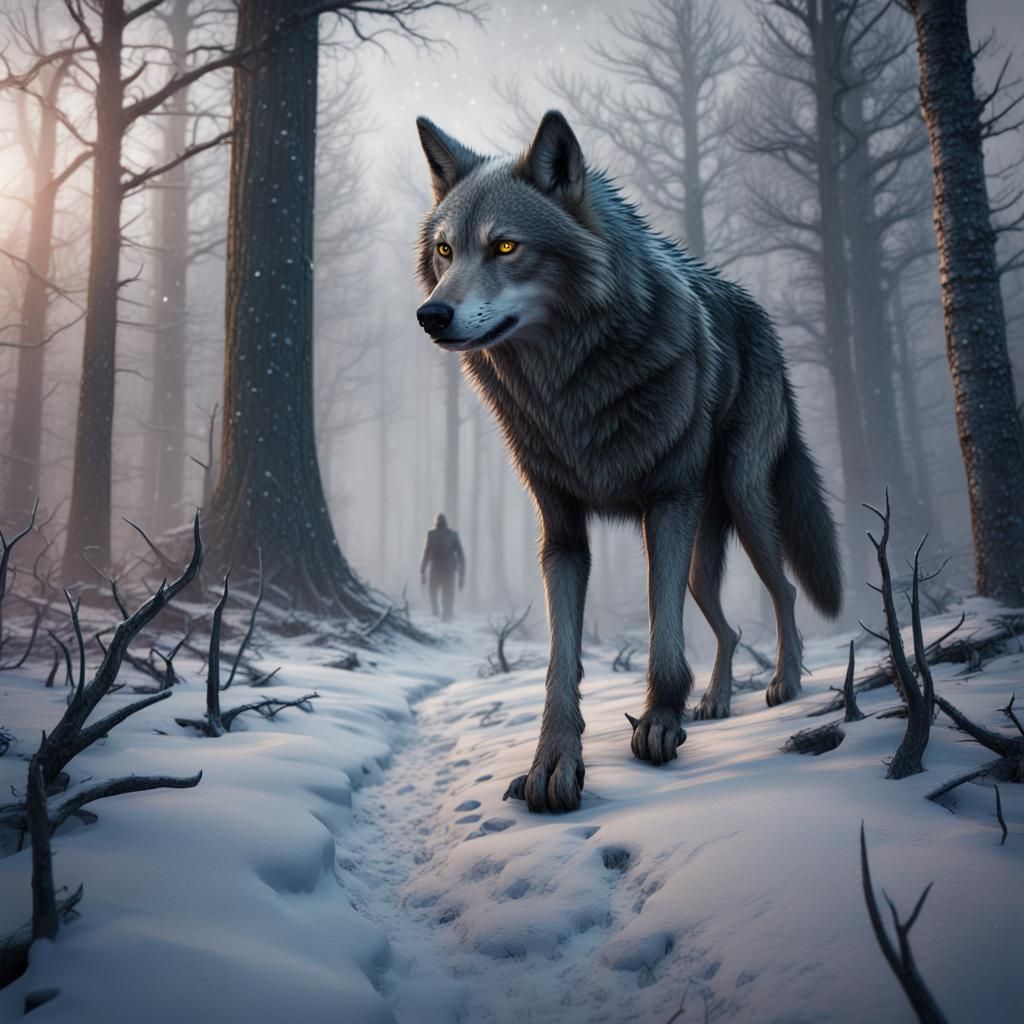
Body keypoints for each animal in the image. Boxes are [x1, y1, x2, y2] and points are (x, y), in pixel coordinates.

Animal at [414, 110, 843, 813]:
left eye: (505, 247)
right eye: (446, 251)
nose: (431, 315)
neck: (568, 390)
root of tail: (760, 315)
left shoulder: (665, 506)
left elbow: (663, 640)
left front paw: (659, 724)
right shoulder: (561, 533)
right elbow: (560, 661)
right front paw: (553, 762)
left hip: (745, 504)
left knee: (782, 592)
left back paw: (784, 684)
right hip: (702, 562)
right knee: (727, 629)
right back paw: (716, 701)